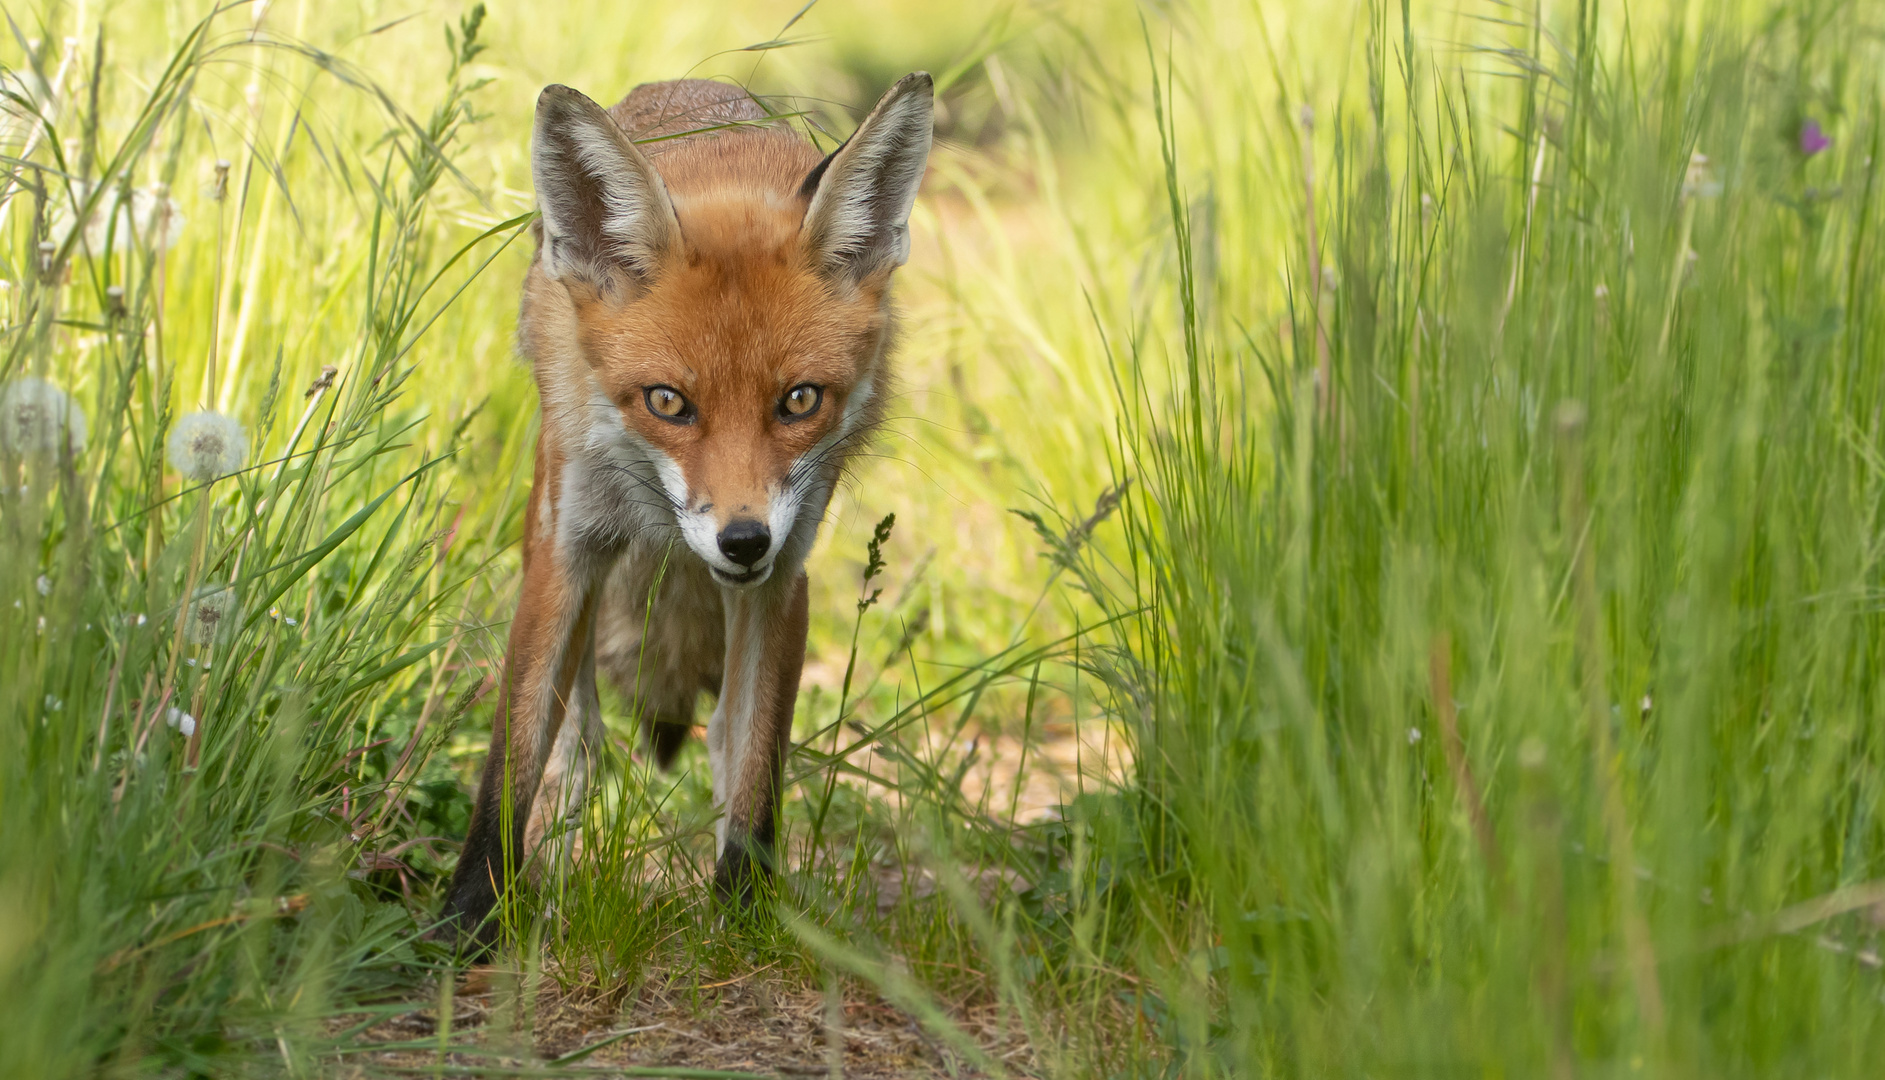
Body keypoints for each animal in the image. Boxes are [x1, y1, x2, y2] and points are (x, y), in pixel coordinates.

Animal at [442, 75, 942, 946]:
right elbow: (514, 753)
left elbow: (754, 770)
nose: (742, 541)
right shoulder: (565, 547)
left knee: (718, 746)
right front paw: (465, 920)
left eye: (799, 400)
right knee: (578, 746)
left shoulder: (785, 576)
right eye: (668, 402)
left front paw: (742, 917)